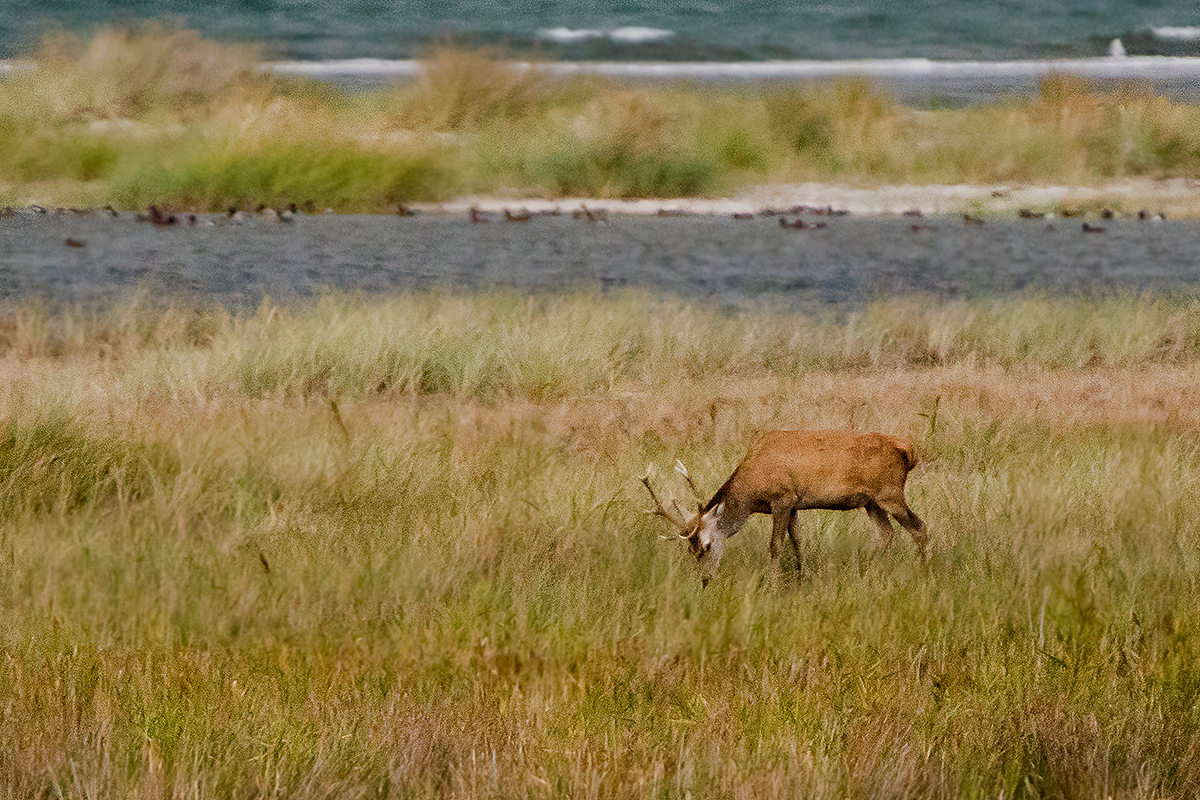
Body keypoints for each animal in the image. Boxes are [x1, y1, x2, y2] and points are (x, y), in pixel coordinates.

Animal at [638, 429, 926, 585]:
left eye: (706, 546)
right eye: (690, 550)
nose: (705, 580)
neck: (752, 492)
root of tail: (909, 451)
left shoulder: (782, 498)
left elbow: (775, 545)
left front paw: (774, 583)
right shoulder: (794, 504)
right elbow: (797, 539)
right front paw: (802, 574)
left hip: (890, 493)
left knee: (919, 527)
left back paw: (925, 569)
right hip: (872, 501)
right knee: (885, 533)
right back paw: (868, 576)